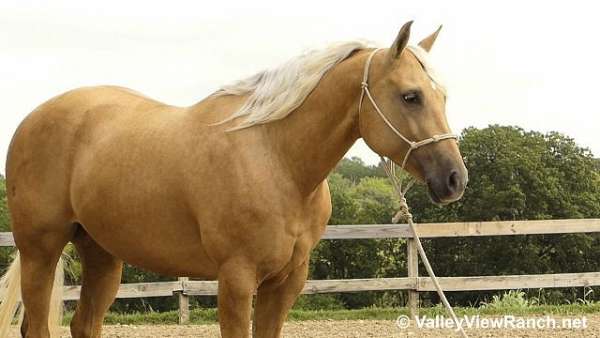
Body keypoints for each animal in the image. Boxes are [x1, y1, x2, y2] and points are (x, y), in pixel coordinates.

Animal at [0, 21, 466, 338]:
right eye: (410, 96)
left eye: (443, 96)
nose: (454, 179)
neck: (276, 160)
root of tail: (33, 118)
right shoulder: (237, 279)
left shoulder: (287, 281)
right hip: (41, 249)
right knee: (37, 328)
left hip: (101, 255)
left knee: (85, 324)